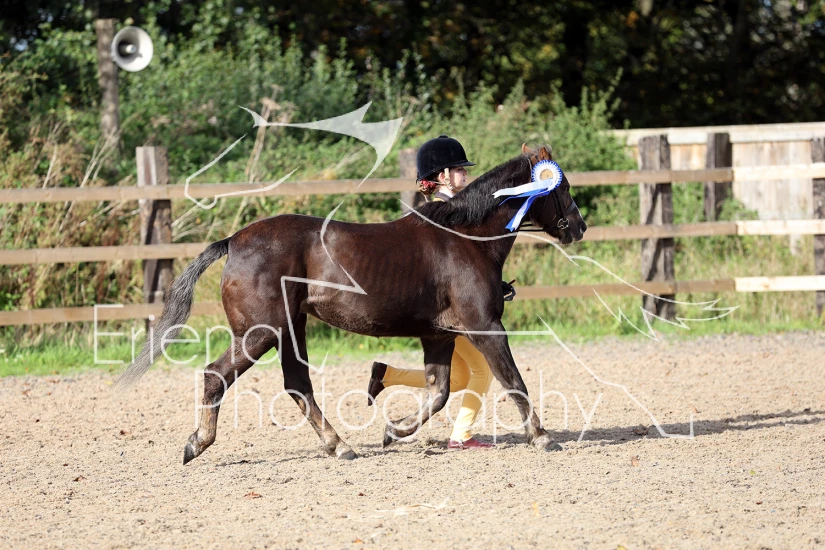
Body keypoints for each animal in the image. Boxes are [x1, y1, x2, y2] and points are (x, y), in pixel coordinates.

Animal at [117, 144, 586, 464]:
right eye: (561, 186)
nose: (579, 227)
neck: (464, 239)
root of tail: (233, 241)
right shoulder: (486, 327)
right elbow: (513, 381)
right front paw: (543, 437)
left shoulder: (438, 335)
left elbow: (439, 392)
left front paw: (393, 431)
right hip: (260, 332)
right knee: (217, 375)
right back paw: (196, 444)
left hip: (291, 329)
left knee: (297, 385)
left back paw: (339, 445)